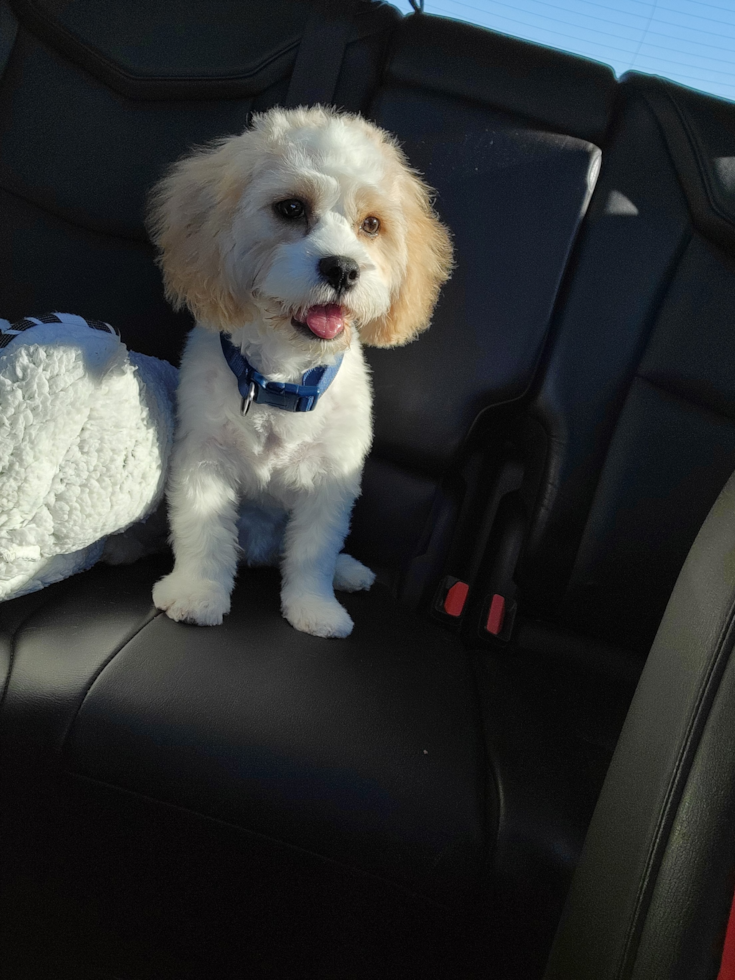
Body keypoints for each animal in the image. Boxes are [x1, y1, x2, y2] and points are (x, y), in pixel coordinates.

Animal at [147, 107, 452, 640]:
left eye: (372, 224)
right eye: (290, 208)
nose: (344, 268)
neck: (280, 381)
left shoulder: (332, 478)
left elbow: (315, 552)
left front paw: (316, 608)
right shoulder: (203, 458)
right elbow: (202, 532)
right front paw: (196, 594)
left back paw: (347, 572)